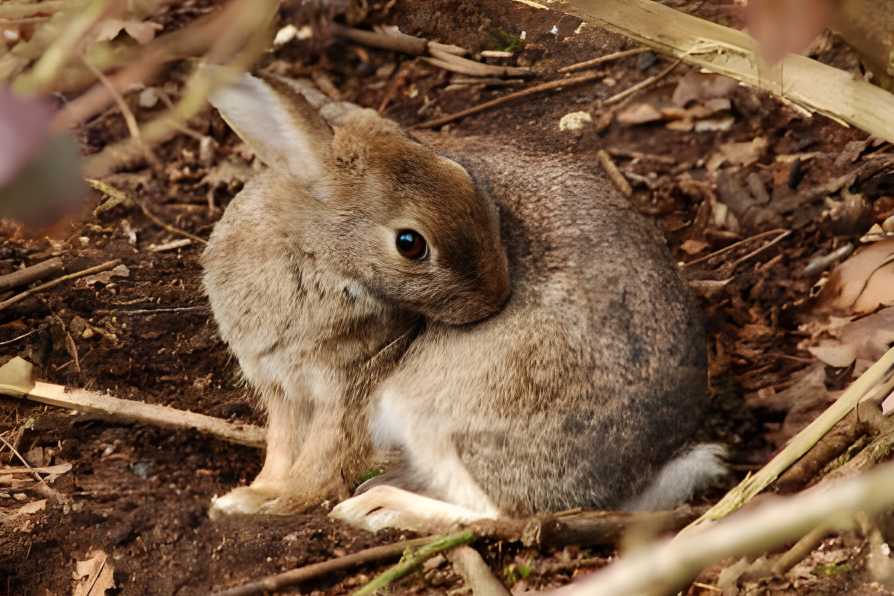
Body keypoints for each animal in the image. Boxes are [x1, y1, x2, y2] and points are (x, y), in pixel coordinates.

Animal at [200, 71, 724, 532]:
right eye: (410, 244)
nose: (497, 296)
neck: (311, 251)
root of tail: (648, 472)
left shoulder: (353, 384)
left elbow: (323, 457)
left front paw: (280, 502)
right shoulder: (280, 386)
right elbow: (281, 446)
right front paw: (248, 495)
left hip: (445, 416)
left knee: (502, 515)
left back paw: (379, 507)